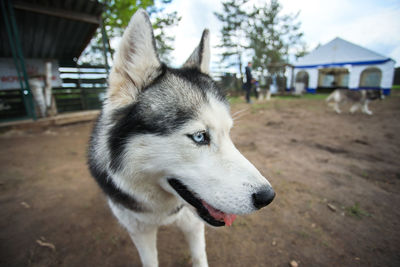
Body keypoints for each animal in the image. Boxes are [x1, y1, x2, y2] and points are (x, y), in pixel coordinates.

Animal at [88, 8, 276, 267]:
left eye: (228, 133)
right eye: (199, 137)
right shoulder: (139, 231)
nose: (268, 197)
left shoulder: (193, 224)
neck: (163, 212)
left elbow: (199, 257)